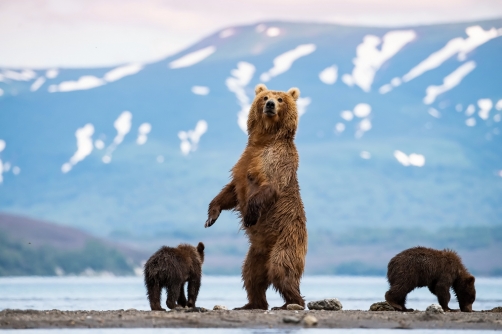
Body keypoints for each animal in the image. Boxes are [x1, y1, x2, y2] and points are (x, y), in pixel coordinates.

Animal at [204, 83, 306, 310]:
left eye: (280, 99)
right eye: (265, 97)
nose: (270, 105)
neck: (265, 140)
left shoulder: (276, 161)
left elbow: (269, 187)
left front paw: (250, 214)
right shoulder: (244, 162)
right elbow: (230, 192)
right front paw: (211, 216)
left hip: (287, 239)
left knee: (281, 269)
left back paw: (291, 302)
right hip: (256, 253)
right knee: (251, 275)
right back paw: (252, 303)